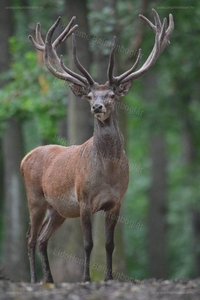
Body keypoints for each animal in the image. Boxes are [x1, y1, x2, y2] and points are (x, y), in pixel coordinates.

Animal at [20, 8, 173, 282]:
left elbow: (109, 244)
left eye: (111, 94)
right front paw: (86, 279)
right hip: (35, 198)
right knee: (30, 237)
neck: (107, 173)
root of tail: (24, 158)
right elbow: (88, 243)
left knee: (42, 239)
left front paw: (109, 278)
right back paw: (35, 280)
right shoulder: (83, 200)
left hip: (57, 209)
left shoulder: (116, 201)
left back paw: (50, 279)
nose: (97, 107)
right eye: (90, 95)